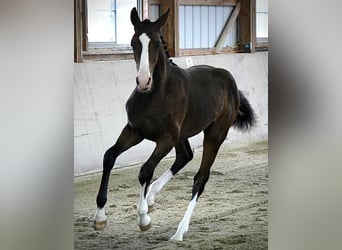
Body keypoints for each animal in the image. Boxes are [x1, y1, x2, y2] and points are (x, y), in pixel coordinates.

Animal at [92, 7, 255, 241]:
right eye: (133, 42)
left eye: (156, 43)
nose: (144, 81)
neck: (155, 95)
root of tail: (230, 81)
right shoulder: (134, 131)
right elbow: (109, 156)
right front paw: (100, 218)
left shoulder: (166, 139)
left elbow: (146, 170)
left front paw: (144, 219)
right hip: (182, 135)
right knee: (185, 156)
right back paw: (152, 197)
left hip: (215, 134)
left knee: (200, 178)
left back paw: (179, 231)